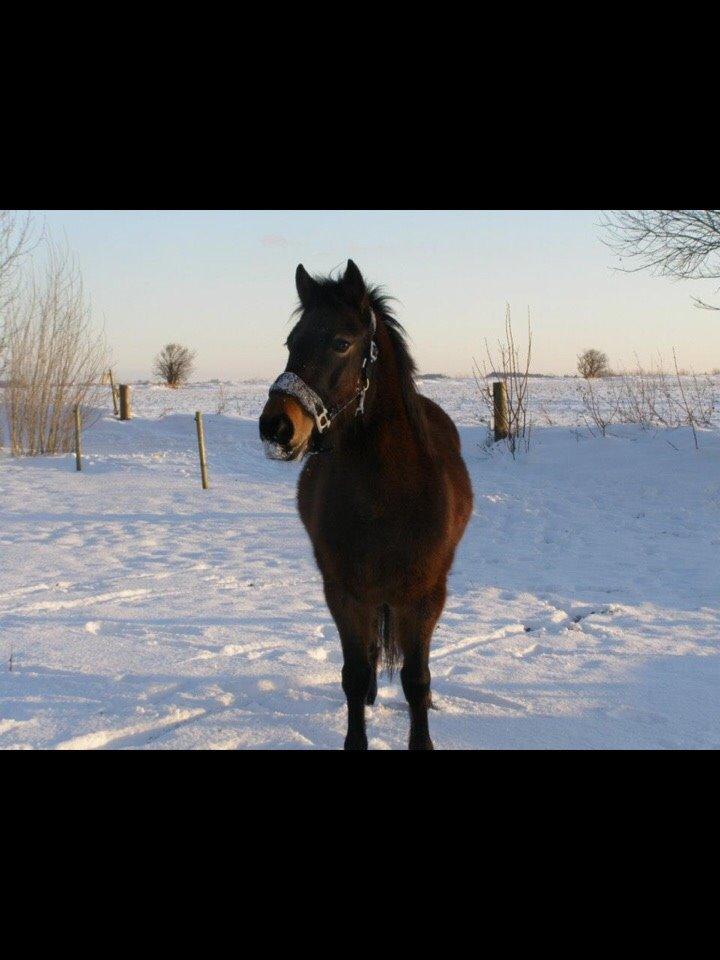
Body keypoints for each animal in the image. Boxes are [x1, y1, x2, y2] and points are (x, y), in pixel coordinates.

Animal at [258, 262, 472, 752]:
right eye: (291, 342)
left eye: (341, 342)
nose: (276, 426)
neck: (384, 497)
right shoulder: (343, 591)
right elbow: (354, 675)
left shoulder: (424, 595)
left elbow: (416, 678)